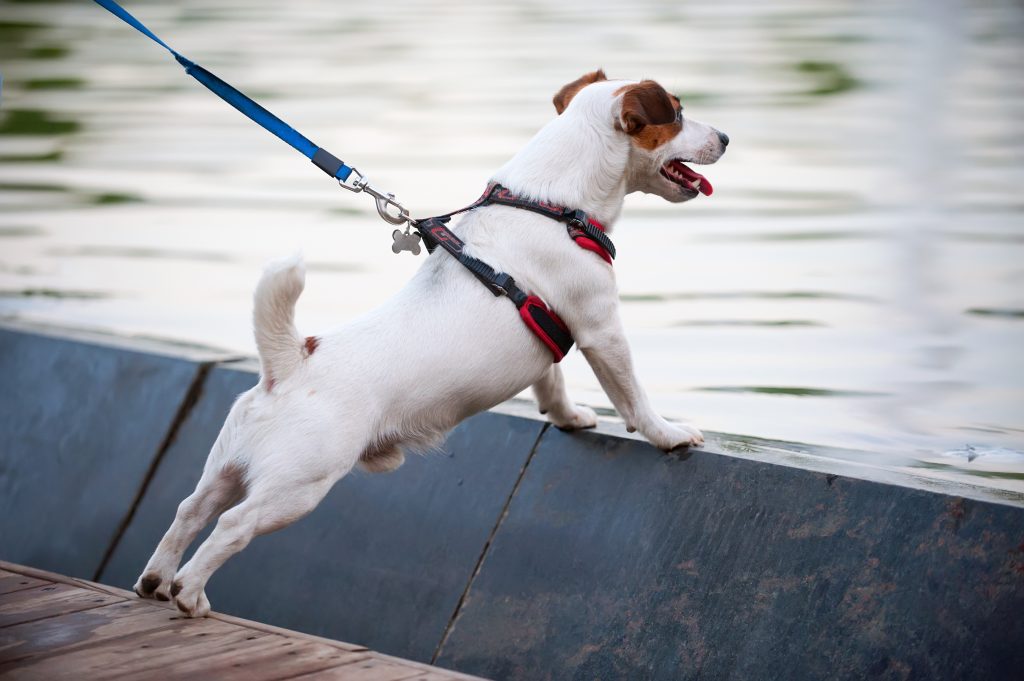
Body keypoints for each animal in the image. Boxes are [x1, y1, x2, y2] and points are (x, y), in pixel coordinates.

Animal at [134, 70, 729, 614]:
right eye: (677, 113)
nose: (725, 136)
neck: (550, 204)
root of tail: (289, 366)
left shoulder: (549, 339)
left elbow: (551, 384)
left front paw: (569, 417)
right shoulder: (601, 328)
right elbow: (632, 397)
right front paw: (669, 434)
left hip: (230, 466)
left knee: (190, 509)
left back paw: (156, 579)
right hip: (297, 486)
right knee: (232, 524)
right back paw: (190, 592)